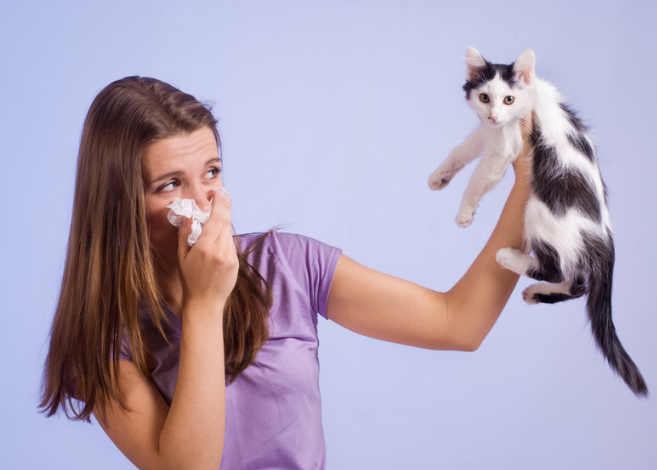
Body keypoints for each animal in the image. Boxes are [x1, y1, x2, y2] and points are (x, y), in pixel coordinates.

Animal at [428, 47, 648, 394]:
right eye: (484, 97)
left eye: (508, 99)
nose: (494, 115)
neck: (529, 99)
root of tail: (605, 238)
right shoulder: (490, 132)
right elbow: (464, 148)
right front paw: (440, 177)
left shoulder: (505, 144)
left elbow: (479, 178)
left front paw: (464, 212)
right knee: (578, 283)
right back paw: (537, 292)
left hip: (539, 209)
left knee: (555, 268)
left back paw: (508, 258)